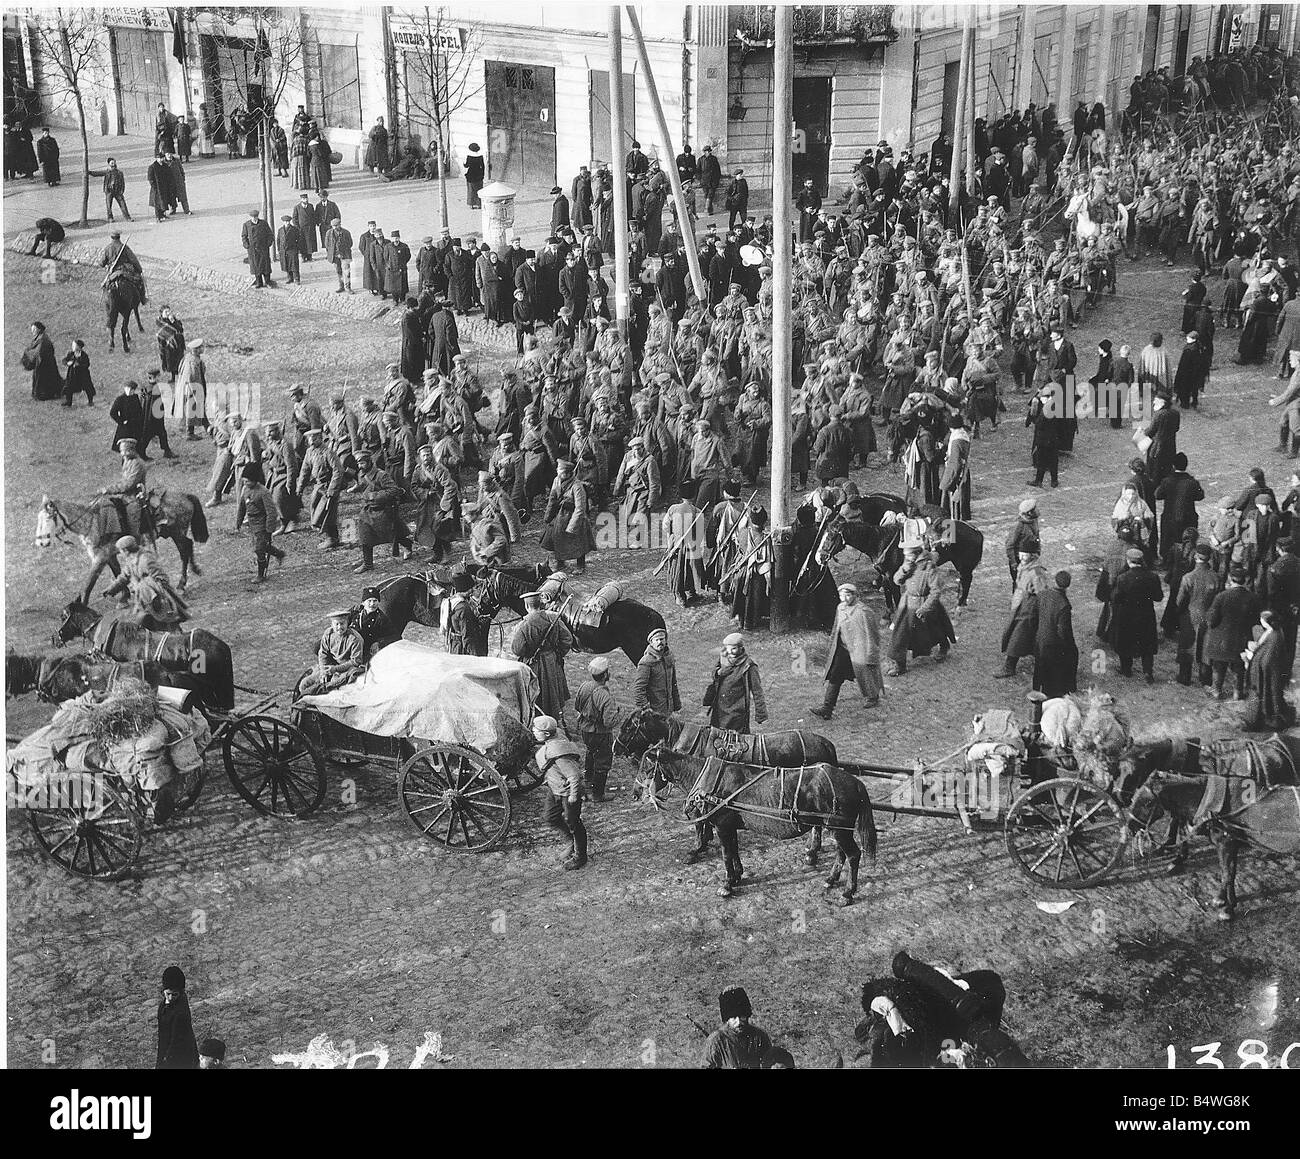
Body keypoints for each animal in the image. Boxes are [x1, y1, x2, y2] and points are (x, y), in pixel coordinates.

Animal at [634, 743, 878, 904]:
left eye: (646, 768)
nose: (636, 792)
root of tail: (855, 782)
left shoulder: (722, 826)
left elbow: (726, 854)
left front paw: (727, 885)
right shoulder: (730, 826)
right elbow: (734, 850)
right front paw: (737, 876)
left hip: (838, 827)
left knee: (853, 855)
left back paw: (847, 893)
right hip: (838, 828)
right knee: (841, 853)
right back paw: (830, 879)